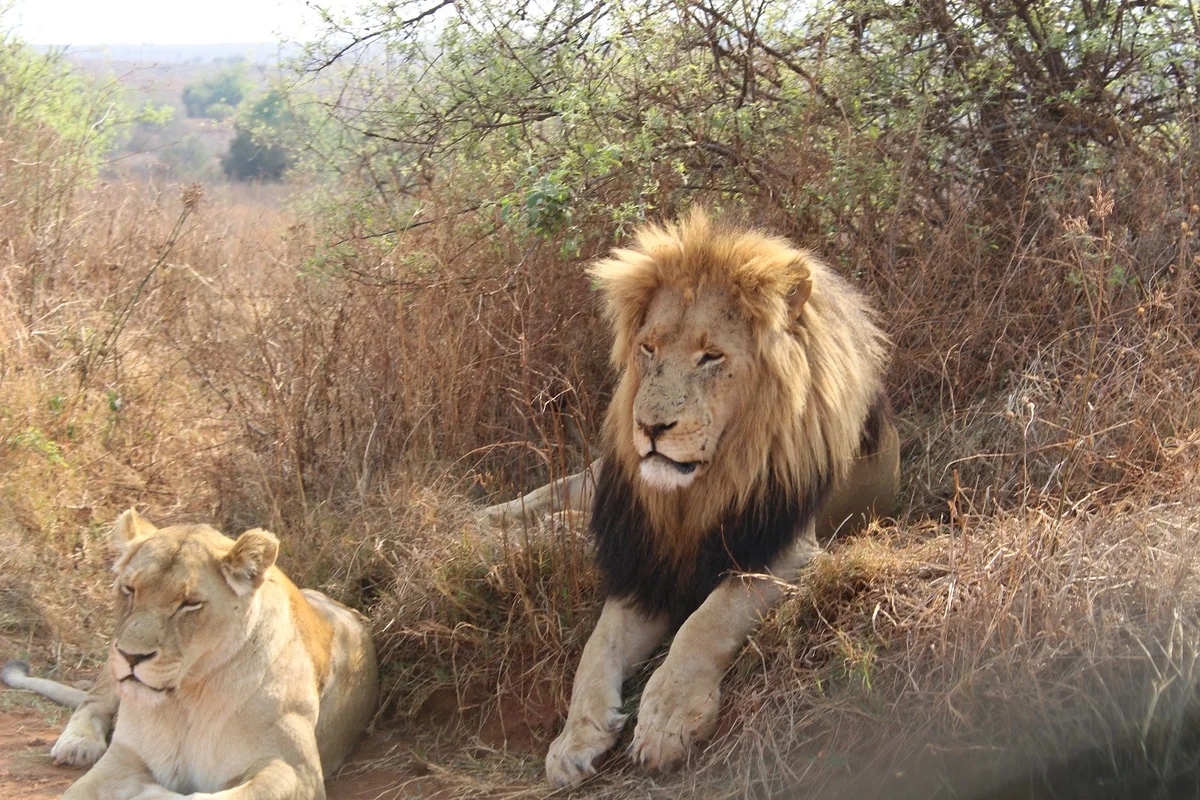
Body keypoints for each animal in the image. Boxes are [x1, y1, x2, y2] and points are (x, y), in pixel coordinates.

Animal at [1, 509, 379, 800]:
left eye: (189, 603)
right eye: (129, 589)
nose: (131, 657)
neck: (187, 699)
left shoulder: (295, 770)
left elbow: (203, 797)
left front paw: (149, 792)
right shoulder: (124, 754)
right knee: (90, 702)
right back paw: (77, 744)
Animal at [479, 210, 899, 786]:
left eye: (710, 357)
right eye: (648, 348)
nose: (649, 427)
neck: (696, 491)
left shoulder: (782, 550)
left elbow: (706, 622)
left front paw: (667, 719)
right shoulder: (644, 564)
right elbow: (596, 648)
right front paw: (573, 740)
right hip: (601, 477)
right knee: (556, 490)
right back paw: (493, 522)